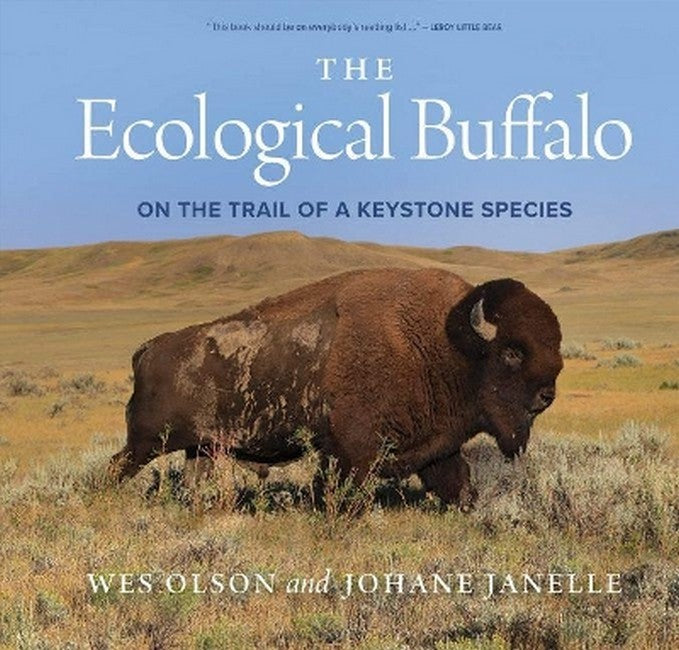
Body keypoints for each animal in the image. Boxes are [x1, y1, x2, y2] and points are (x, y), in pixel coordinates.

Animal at [111, 268, 562, 508]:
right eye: (512, 352)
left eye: (553, 347)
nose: (547, 395)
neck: (446, 343)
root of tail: (149, 348)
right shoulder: (352, 450)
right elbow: (343, 491)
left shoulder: (437, 445)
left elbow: (457, 483)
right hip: (147, 442)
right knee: (117, 467)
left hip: (201, 447)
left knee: (190, 479)